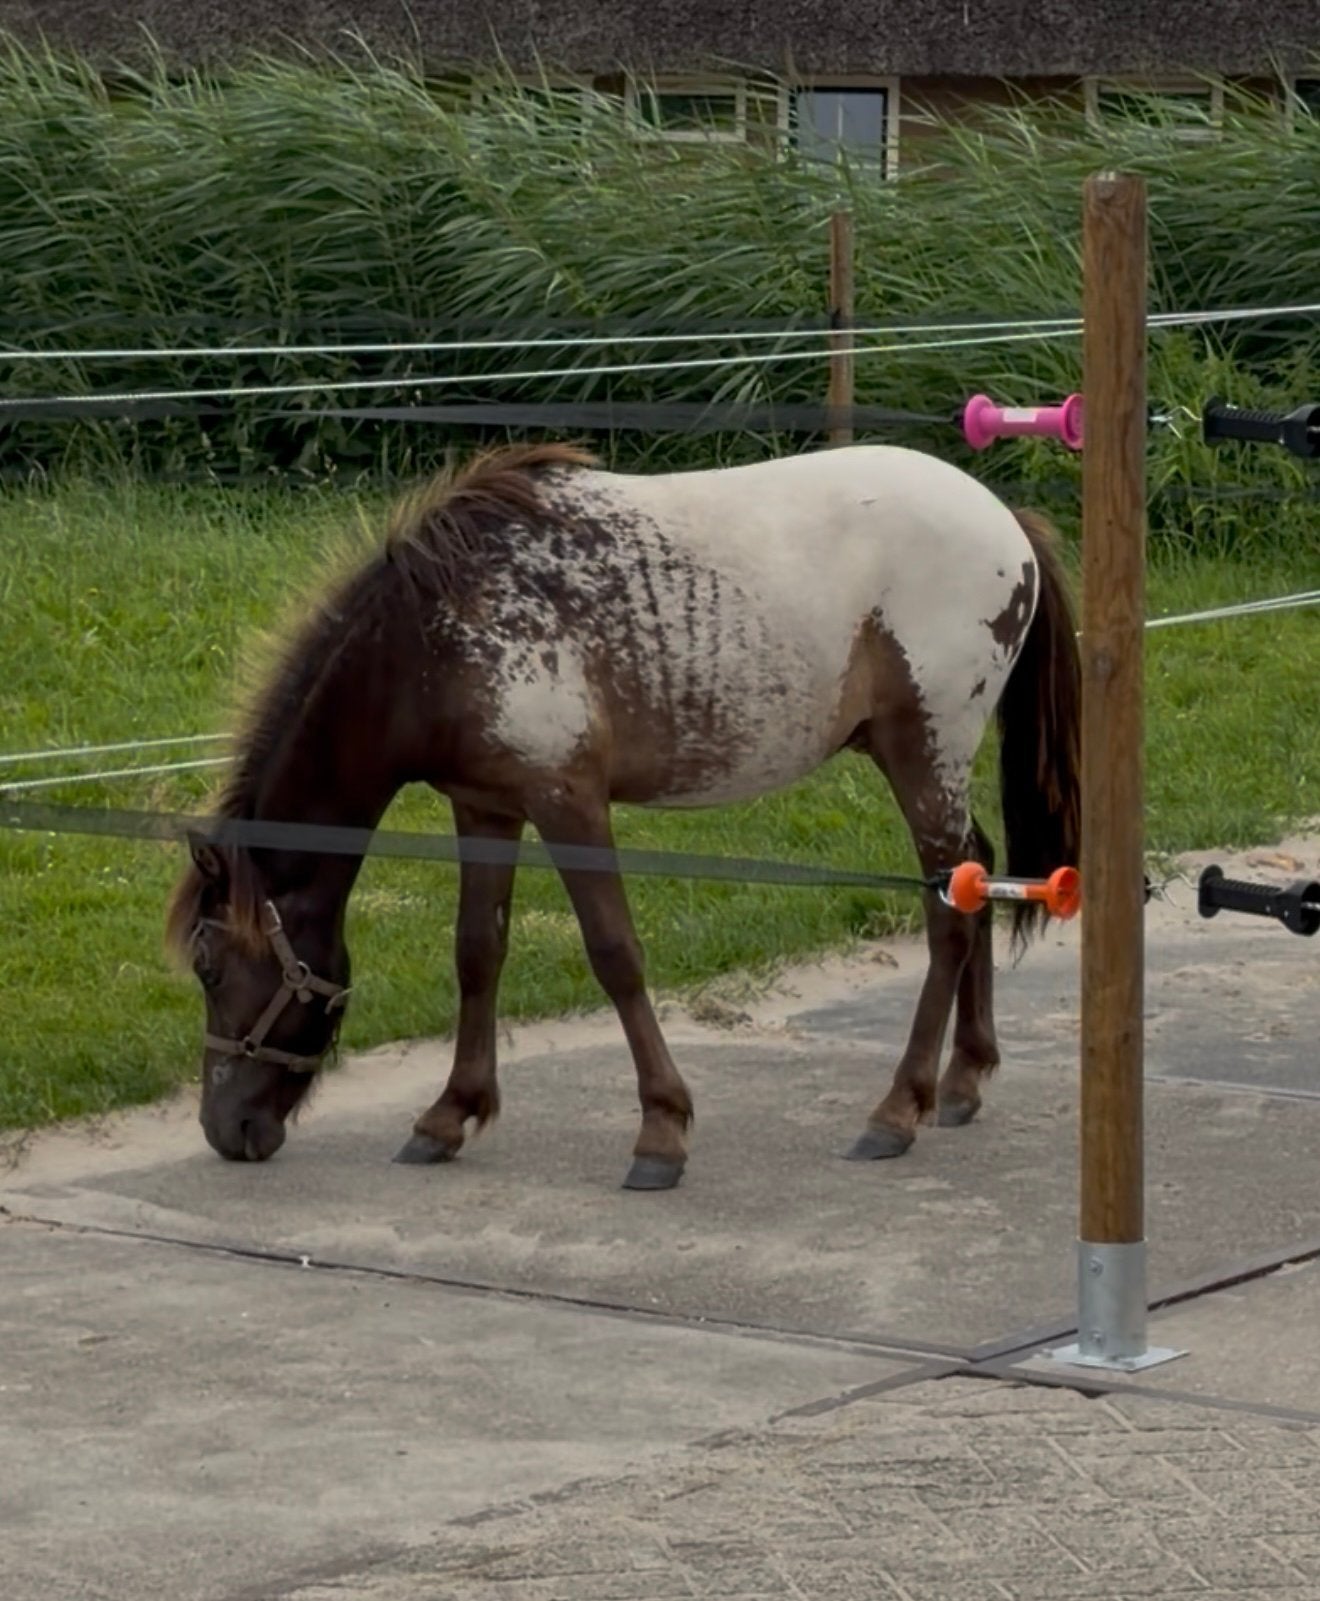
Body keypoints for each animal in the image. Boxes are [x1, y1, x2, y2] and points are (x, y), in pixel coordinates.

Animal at [166, 440, 1081, 1189]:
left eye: (209, 965)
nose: (226, 1128)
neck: (436, 631)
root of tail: (1005, 518)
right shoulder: (486, 808)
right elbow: (477, 953)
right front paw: (449, 1114)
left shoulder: (569, 803)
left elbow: (615, 954)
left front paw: (661, 1132)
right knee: (976, 875)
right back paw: (963, 1080)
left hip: (922, 752)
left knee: (950, 913)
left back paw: (898, 1109)